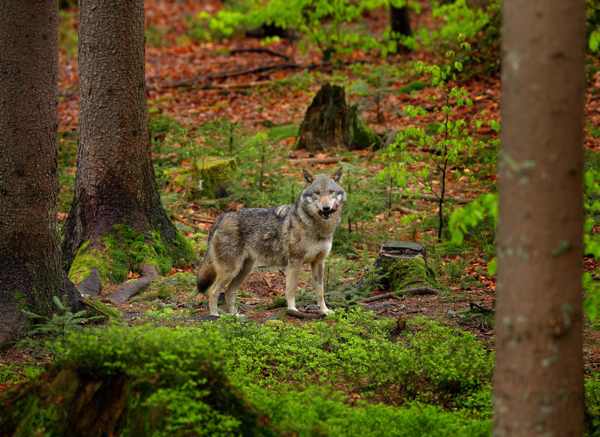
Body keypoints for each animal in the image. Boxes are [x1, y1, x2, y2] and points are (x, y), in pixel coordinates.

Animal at [197, 168, 346, 316]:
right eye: (317, 193)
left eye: (331, 192)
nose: (326, 208)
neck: (318, 227)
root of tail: (222, 217)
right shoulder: (294, 262)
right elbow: (291, 289)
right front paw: (292, 310)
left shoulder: (318, 262)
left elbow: (320, 291)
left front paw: (324, 311)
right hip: (231, 271)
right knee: (213, 291)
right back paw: (215, 316)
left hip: (243, 271)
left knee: (228, 292)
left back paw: (236, 317)